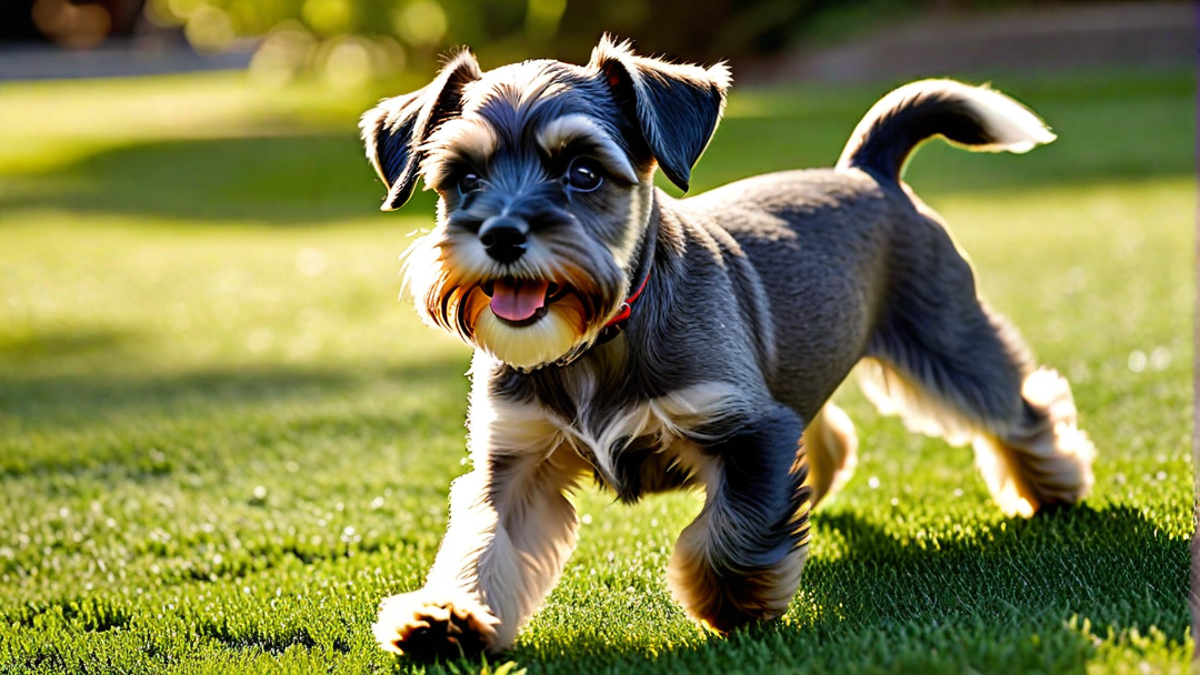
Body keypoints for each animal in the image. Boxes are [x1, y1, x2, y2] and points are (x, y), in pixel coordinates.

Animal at [357, 36, 1099, 658]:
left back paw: (1052, 486)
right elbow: (482, 544)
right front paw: (448, 616)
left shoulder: (746, 429)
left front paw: (731, 601)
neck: (602, 338)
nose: (503, 234)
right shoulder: (512, 462)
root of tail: (868, 170)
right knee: (827, 426)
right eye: (463, 177)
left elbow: (733, 529)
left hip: (945, 342)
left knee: (1018, 405)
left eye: (584, 172)